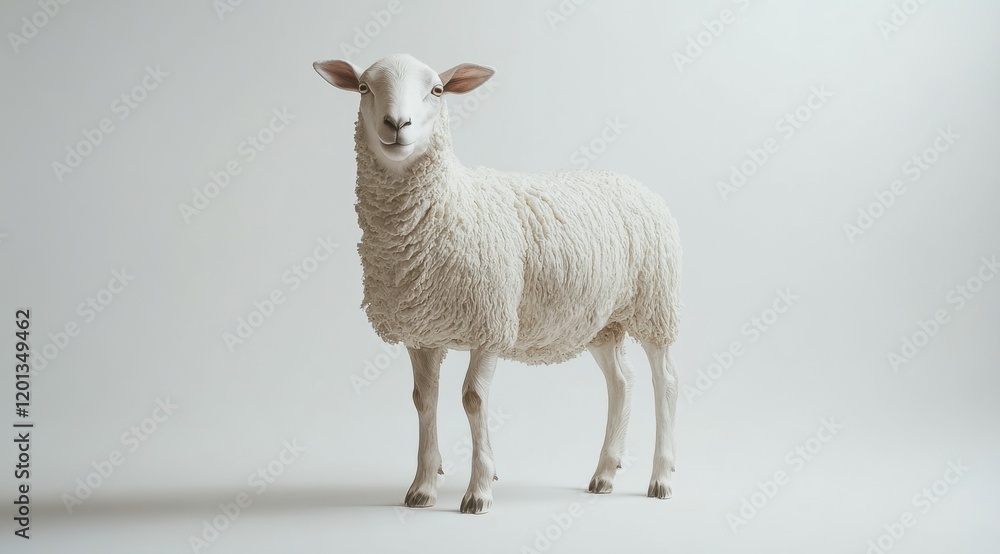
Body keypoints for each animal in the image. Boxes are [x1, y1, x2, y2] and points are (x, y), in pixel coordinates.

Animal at [313, 54, 682, 514]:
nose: (396, 123)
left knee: (664, 382)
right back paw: (604, 473)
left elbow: (473, 399)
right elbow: (423, 400)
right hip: (600, 321)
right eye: (364, 87)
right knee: (622, 381)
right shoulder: (421, 331)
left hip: (655, 305)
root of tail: (634, 183)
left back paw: (662, 478)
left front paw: (479, 490)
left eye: (437, 90)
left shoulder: (491, 322)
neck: (448, 207)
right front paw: (422, 488)